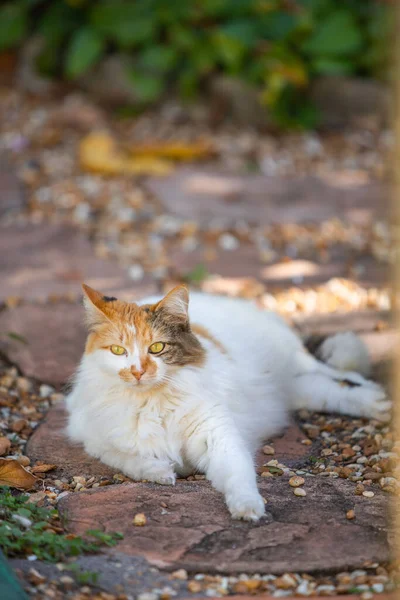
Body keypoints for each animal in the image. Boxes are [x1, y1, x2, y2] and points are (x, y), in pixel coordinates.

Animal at [66, 282, 390, 520]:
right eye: (118, 351)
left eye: (156, 348)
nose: (137, 372)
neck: (152, 401)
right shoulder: (93, 438)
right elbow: (131, 460)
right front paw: (161, 471)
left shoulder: (218, 434)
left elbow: (239, 474)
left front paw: (248, 507)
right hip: (292, 389)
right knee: (324, 389)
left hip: (297, 361)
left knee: (338, 373)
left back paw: (377, 400)